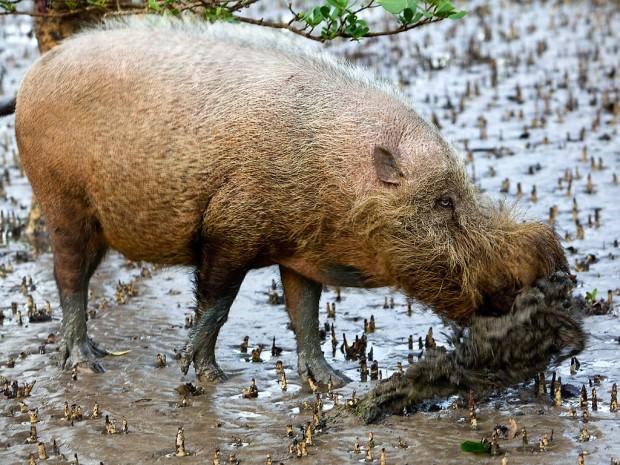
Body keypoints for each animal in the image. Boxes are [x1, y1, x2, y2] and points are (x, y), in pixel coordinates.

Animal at [15, 16, 567, 387]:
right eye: (445, 202)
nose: (555, 276)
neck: (334, 179)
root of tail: (35, 72)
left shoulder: (301, 254)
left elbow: (305, 315)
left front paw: (332, 383)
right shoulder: (227, 230)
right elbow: (217, 306)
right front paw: (205, 376)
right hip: (62, 201)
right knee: (69, 279)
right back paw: (87, 364)